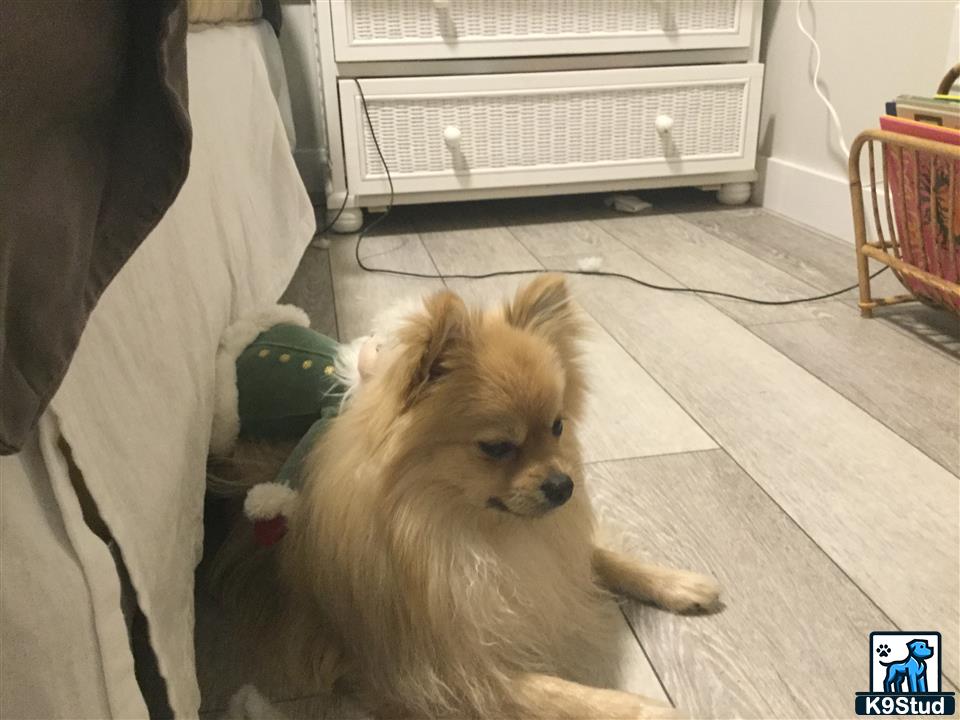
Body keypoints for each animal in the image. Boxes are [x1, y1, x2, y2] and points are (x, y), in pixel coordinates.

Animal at [210, 278, 720, 720]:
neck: (457, 529)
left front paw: (678, 584)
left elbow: (601, 556)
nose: (564, 485)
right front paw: (645, 709)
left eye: (557, 427)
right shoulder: (436, 672)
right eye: (496, 447)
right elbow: (553, 693)